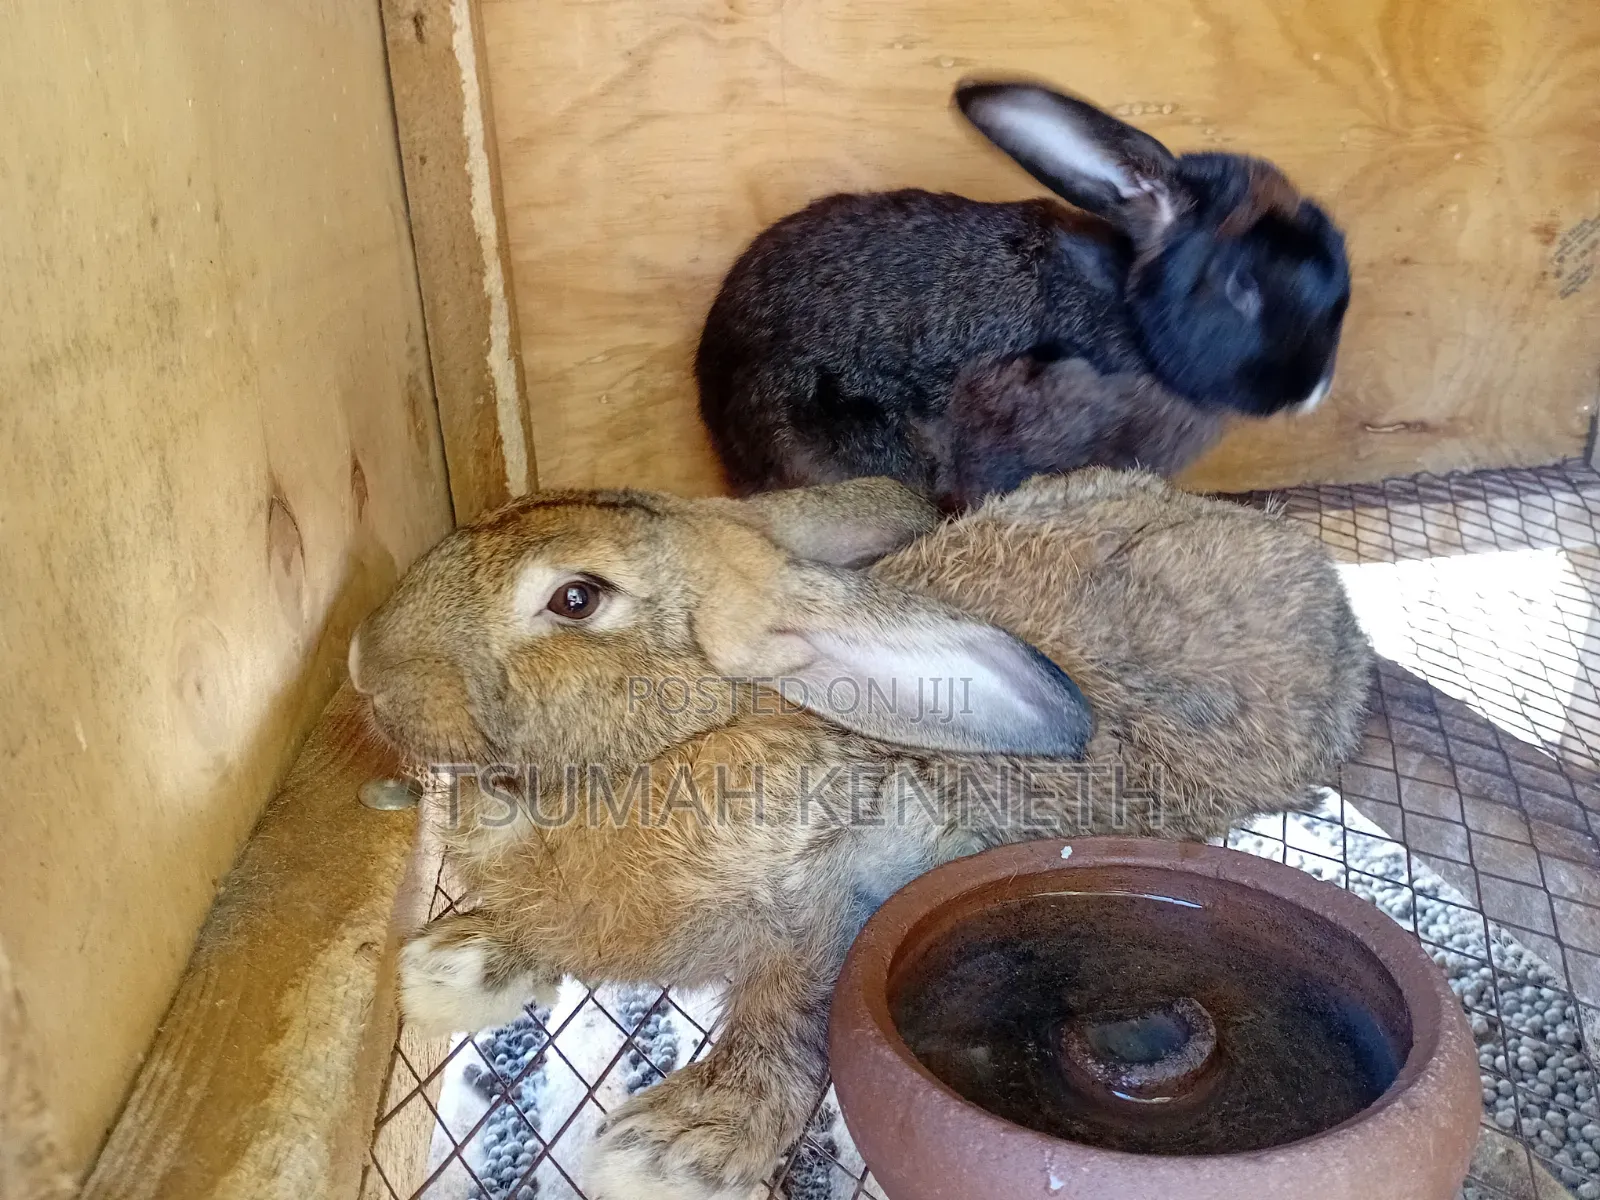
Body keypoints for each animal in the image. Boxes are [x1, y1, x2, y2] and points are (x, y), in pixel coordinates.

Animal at [347, 468, 1372, 1200]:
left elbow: (793, 1010)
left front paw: (677, 1148)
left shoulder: (862, 890)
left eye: (576, 599)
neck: (688, 738)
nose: (361, 662)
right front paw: (452, 966)